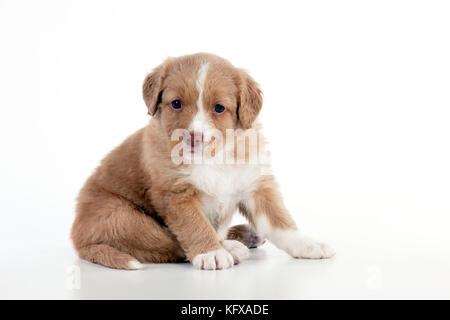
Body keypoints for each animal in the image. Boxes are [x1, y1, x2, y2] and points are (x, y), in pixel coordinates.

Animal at [71, 52, 334, 270]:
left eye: (219, 108)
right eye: (176, 103)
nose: (193, 136)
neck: (214, 158)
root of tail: (79, 242)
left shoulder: (255, 183)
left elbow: (279, 220)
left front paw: (307, 244)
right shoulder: (175, 194)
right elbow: (195, 225)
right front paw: (211, 254)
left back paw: (244, 235)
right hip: (122, 217)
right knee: (166, 243)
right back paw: (231, 248)